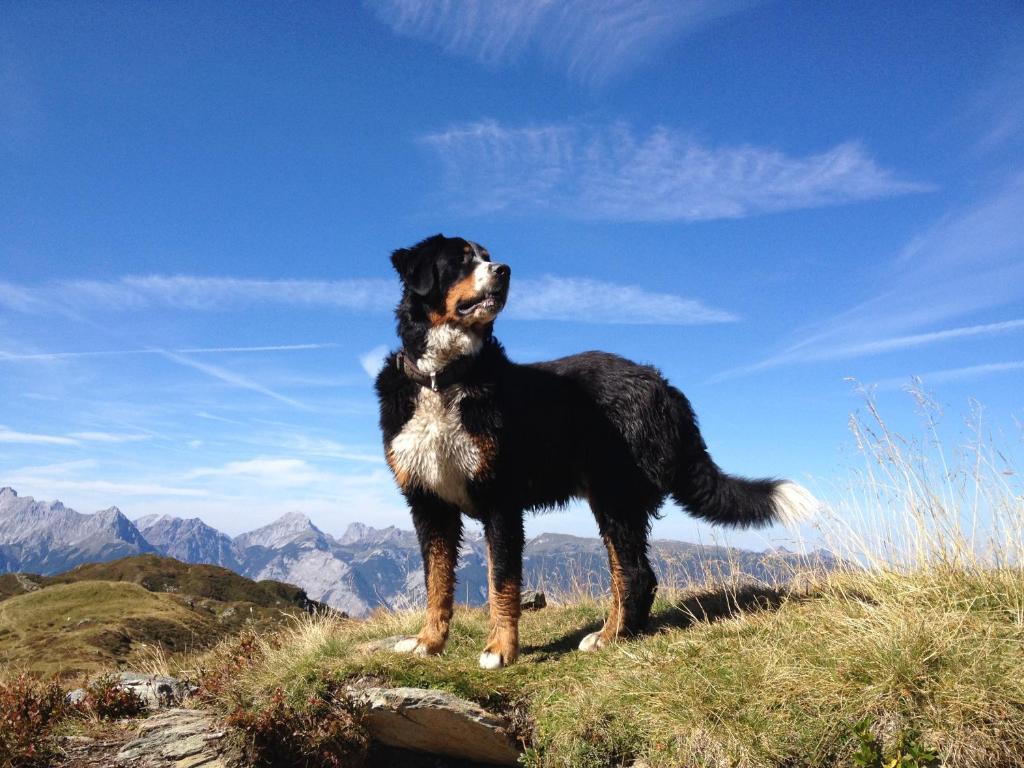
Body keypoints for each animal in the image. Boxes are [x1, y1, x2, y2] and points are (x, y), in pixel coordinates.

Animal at [376, 233, 815, 667]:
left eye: (487, 257)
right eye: (461, 260)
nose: (504, 270)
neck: (443, 379)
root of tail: (661, 385)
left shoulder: (500, 499)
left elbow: (501, 581)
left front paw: (500, 649)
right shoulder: (428, 503)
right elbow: (436, 581)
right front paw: (428, 642)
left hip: (615, 495)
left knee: (634, 573)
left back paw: (609, 637)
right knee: (637, 573)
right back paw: (622, 633)